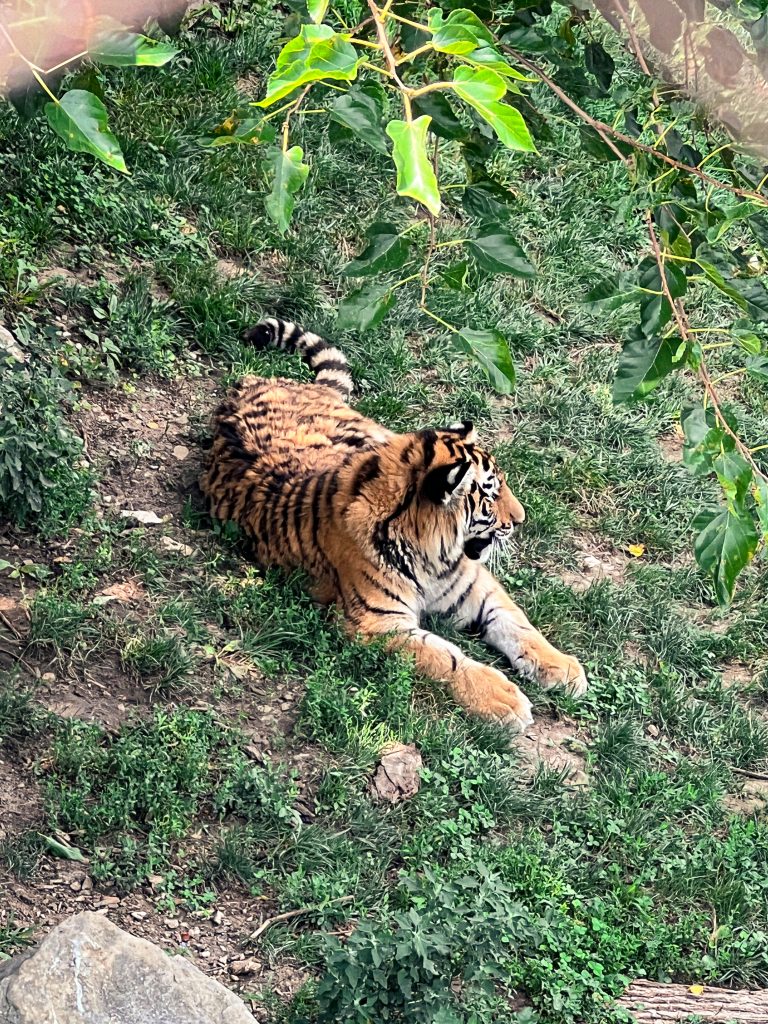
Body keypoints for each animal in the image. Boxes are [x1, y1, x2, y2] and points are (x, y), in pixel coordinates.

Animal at [201, 315, 585, 733]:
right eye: (490, 493)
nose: (520, 519)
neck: (433, 555)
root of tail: (256, 384)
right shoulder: (378, 623)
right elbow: (446, 657)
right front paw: (502, 698)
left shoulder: (474, 587)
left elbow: (516, 623)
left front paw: (562, 667)